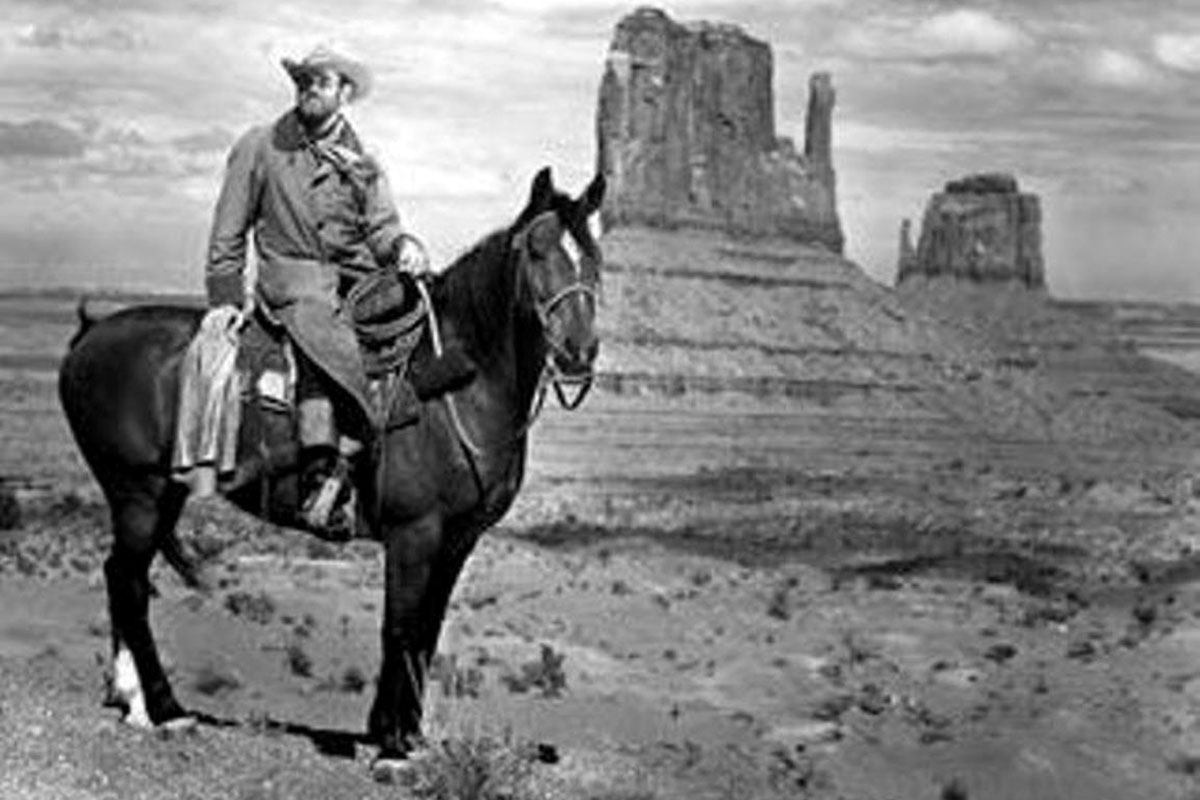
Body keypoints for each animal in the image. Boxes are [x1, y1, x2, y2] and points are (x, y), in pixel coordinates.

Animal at [56, 169, 604, 777]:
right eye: (536, 251)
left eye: (593, 256)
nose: (579, 351)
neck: (460, 383)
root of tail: (90, 333)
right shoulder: (414, 533)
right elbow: (400, 627)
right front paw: (392, 748)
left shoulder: (457, 541)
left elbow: (427, 632)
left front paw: (405, 734)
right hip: (138, 492)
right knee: (127, 582)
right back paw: (167, 708)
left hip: (159, 494)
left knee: (123, 576)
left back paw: (133, 703)